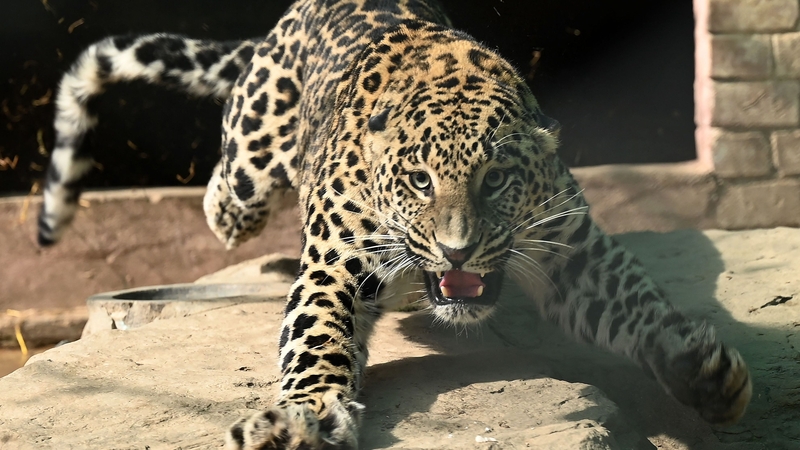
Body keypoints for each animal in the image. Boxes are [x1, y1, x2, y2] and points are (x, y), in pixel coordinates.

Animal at [38, 0, 752, 448]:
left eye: (496, 180)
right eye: (419, 181)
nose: (458, 252)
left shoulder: (572, 250)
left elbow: (635, 303)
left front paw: (699, 372)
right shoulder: (334, 267)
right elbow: (316, 342)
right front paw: (302, 420)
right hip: (249, 158)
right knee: (225, 198)